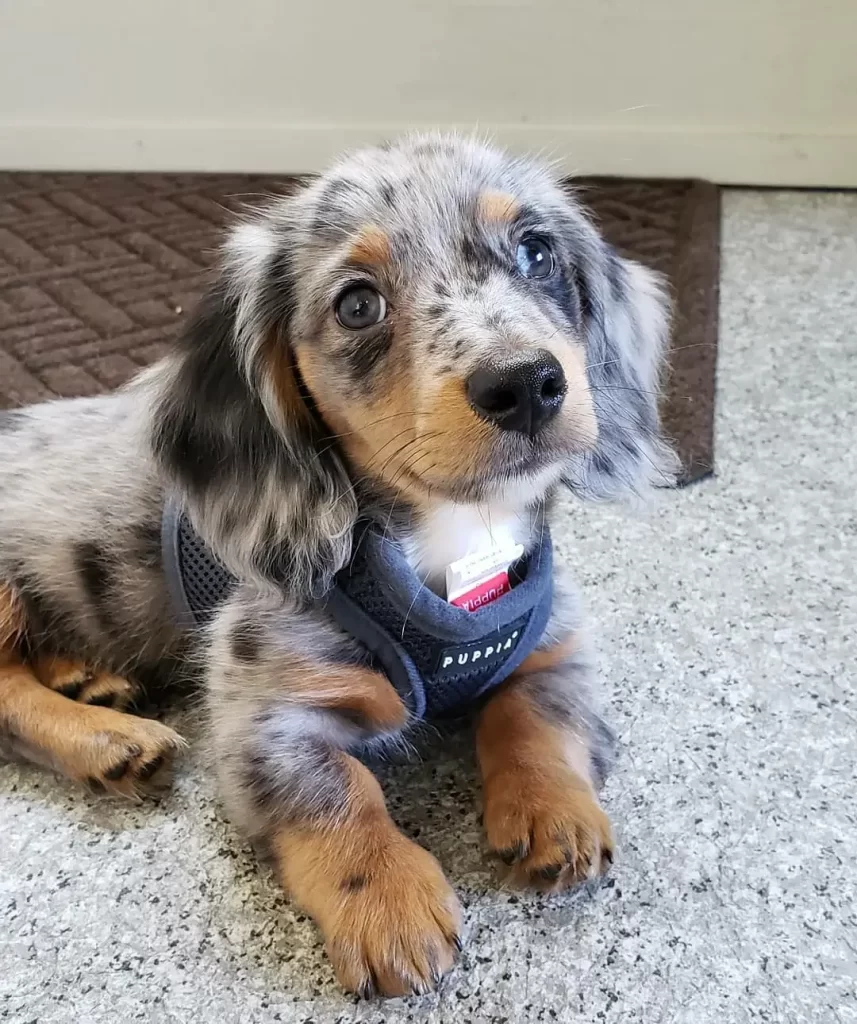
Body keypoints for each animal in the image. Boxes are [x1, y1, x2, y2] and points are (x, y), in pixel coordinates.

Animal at [0, 132, 675, 995]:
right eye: (357, 304)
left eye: (536, 251)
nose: (525, 383)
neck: (452, 544)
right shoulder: (265, 718)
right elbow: (337, 792)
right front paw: (384, 898)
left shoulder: (554, 647)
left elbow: (538, 715)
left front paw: (555, 808)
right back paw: (106, 738)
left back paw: (87, 679)